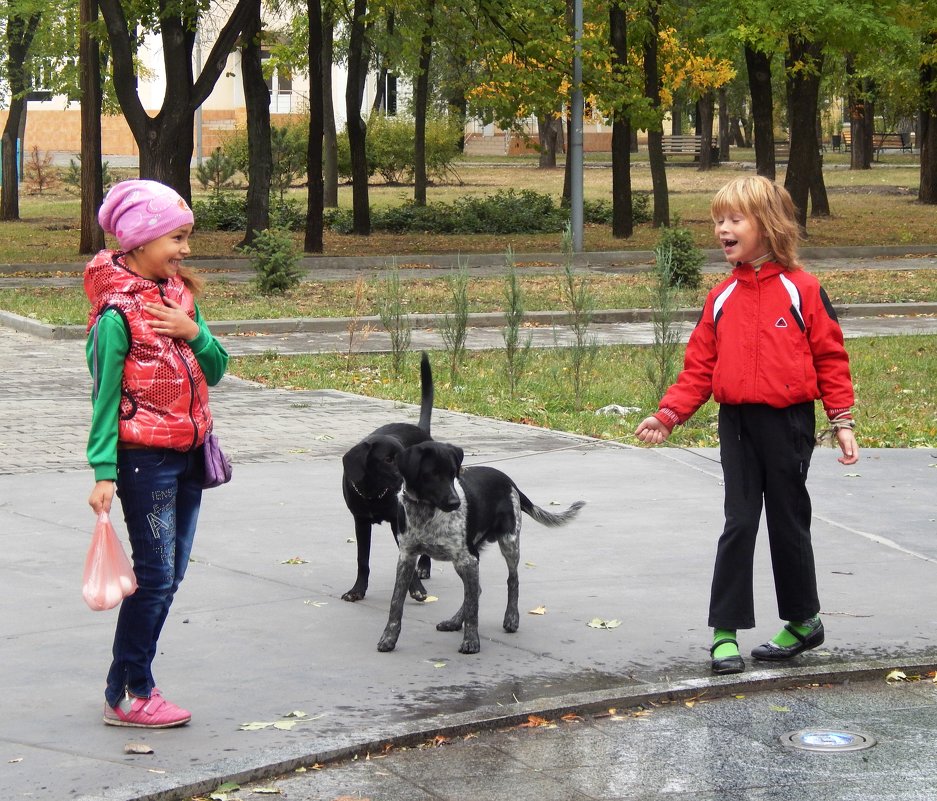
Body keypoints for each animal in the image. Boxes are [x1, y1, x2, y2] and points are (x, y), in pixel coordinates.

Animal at [374, 440, 580, 652]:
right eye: (431, 474)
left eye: (453, 474)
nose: (455, 503)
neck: (426, 513)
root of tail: (509, 482)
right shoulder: (407, 557)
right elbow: (396, 602)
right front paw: (389, 638)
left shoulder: (468, 559)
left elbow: (473, 608)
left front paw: (471, 641)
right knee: (476, 590)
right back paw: (455, 621)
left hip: (509, 543)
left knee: (511, 580)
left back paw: (511, 618)